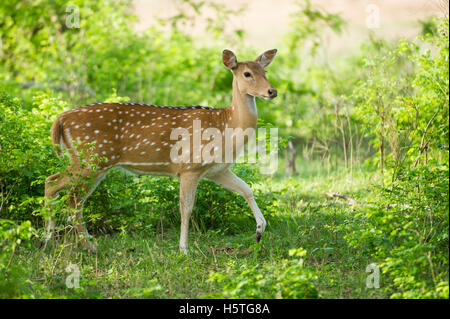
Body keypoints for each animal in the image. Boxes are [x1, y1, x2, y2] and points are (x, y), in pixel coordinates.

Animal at [45, 49, 278, 255]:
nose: (272, 91)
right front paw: (184, 249)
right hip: (91, 159)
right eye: (247, 73)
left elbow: (247, 189)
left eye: (265, 71)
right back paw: (84, 245)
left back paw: (50, 239)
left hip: (89, 162)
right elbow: (187, 207)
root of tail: (61, 118)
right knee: (70, 197)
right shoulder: (190, 166)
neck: (226, 126)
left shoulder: (217, 170)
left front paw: (259, 231)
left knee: (55, 184)